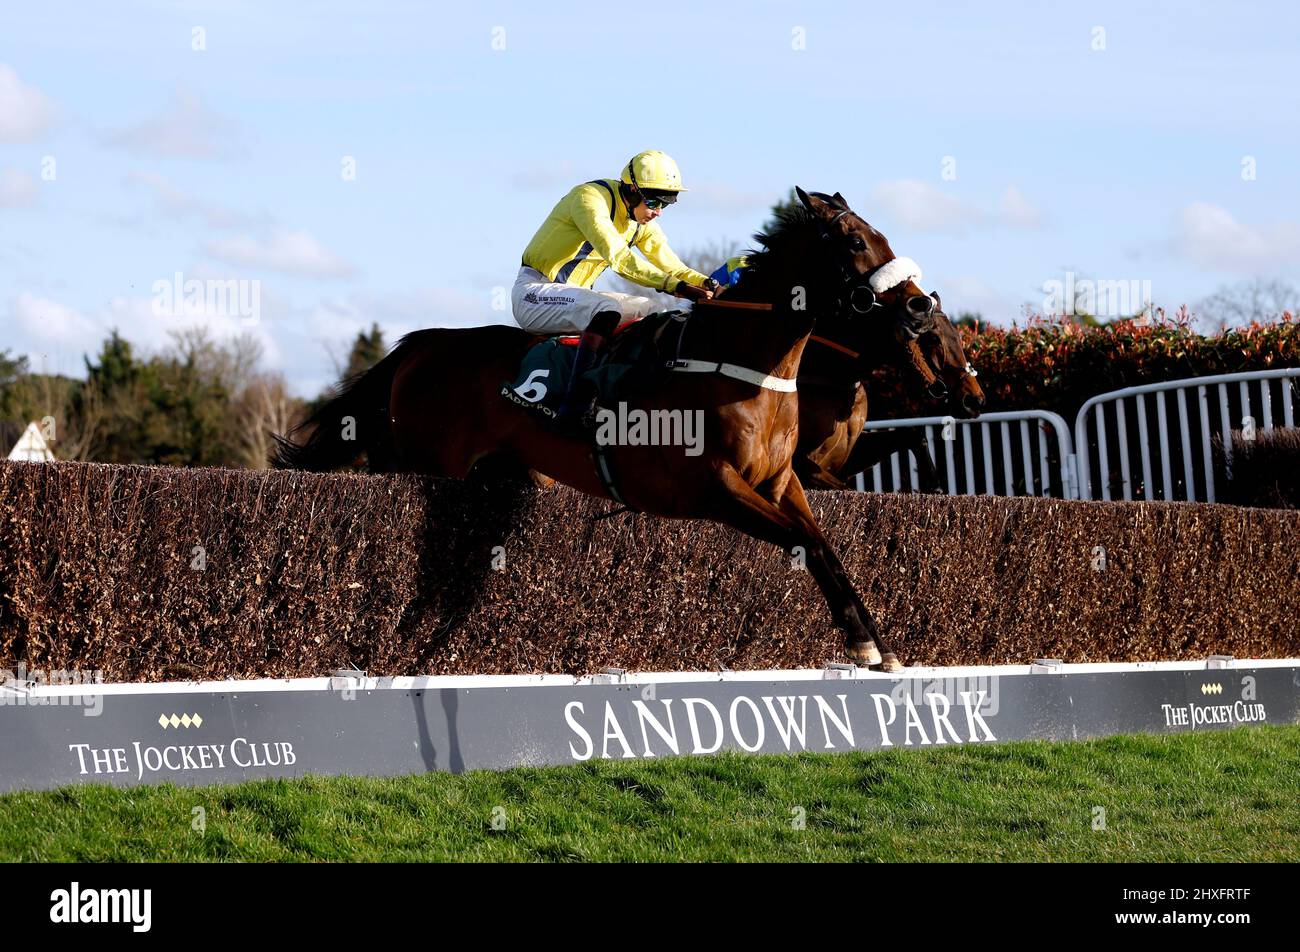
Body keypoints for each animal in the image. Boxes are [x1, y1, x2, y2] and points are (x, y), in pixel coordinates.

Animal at [279, 187, 941, 671]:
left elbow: (822, 544)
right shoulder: (715, 489)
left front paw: (873, 641)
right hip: (421, 461)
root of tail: (422, 345)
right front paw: (866, 642)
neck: (741, 364)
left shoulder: (783, 484)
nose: (920, 306)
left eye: (881, 233)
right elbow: (807, 543)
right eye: (854, 239)